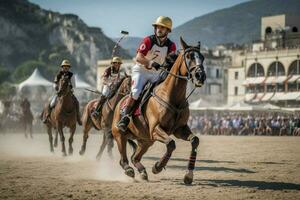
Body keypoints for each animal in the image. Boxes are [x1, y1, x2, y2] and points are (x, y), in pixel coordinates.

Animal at [111, 37, 207, 184]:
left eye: (202, 57)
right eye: (189, 56)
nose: (200, 76)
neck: (173, 97)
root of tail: (119, 103)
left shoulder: (180, 129)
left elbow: (194, 140)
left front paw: (189, 175)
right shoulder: (156, 129)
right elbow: (171, 144)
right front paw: (158, 166)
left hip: (146, 140)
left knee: (135, 157)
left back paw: (142, 172)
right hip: (119, 134)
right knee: (124, 159)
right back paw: (129, 169)